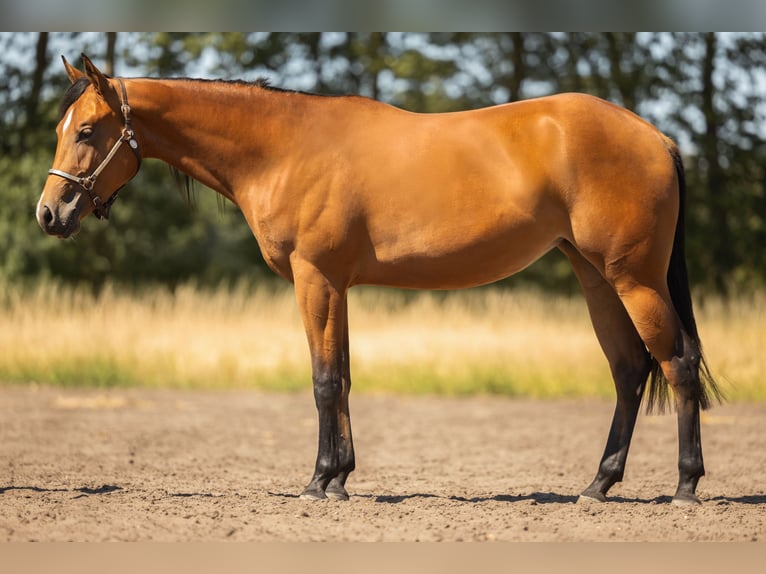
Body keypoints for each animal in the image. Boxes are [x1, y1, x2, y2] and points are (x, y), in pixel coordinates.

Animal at [37, 54, 720, 505]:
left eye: (88, 131)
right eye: (62, 129)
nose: (49, 214)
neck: (283, 149)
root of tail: (656, 137)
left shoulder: (314, 278)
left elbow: (322, 380)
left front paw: (318, 483)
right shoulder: (336, 285)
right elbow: (341, 376)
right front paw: (340, 475)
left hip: (633, 279)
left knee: (678, 363)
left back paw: (685, 486)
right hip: (595, 277)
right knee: (629, 371)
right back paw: (598, 485)